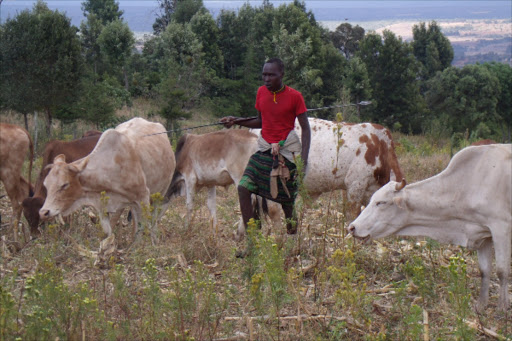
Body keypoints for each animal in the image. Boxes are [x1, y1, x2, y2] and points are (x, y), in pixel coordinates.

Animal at [39, 118, 176, 240]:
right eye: (46, 185)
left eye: (64, 185)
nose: (43, 212)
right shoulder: (104, 207)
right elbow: (108, 234)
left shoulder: (143, 197)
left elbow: (144, 228)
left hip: (160, 194)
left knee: (153, 221)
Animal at [348, 143, 512, 310]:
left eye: (381, 202)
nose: (352, 227)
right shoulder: (482, 235)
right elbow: (484, 271)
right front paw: (481, 305)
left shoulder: (501, 228)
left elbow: (502, 271)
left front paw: (502, 307)